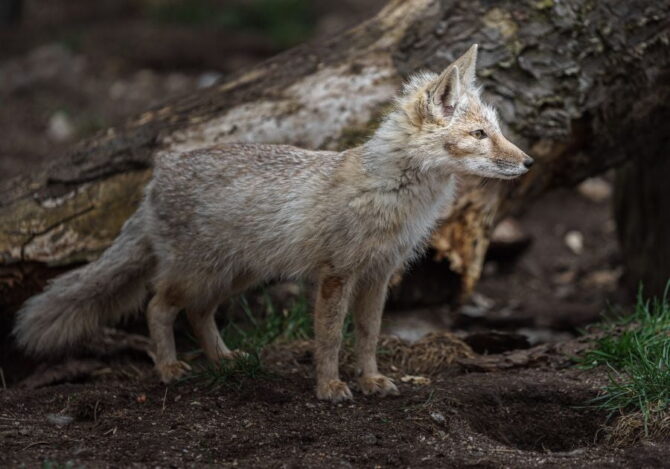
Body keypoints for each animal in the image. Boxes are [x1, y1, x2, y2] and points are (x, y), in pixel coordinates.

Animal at [14, 44, 532, 402]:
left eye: (497, 130)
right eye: (479, 135)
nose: (527, 162)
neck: (396, 197)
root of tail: (158, 176)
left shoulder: (378, 275)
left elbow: (367, 337)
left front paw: (370, 380)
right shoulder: (337, 275)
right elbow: (329, 339)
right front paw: (329, 388)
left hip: (236, 275)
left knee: (198, 314)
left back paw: (223, 360)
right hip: (200, 274)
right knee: (158, 307)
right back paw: (169, 369)